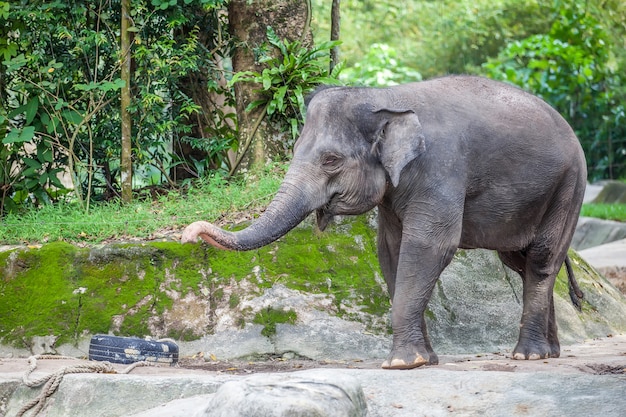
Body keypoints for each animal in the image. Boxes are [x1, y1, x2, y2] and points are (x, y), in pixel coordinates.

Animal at [180, 75, 584, 368]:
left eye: (330, 160)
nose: (188, 234)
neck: (385, 97)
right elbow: (390, 250)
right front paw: (424, 359)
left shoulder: (441, 170)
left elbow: (428, 247)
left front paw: (402, 364)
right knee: (519, 262)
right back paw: (548, 351)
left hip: (569, 186)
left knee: (542, 259)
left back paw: (529, 355)